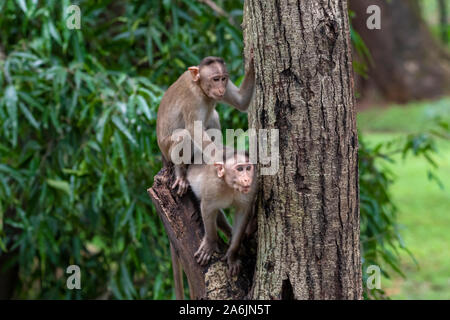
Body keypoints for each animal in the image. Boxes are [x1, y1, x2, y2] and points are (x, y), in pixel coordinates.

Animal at [156, 55, 255, 195]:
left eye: (223, 78)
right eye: (215, 79)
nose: (221, 88)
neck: (200, 88)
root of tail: (163, 156)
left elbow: (241, 101)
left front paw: (252, 64)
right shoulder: (192, 98)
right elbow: (194, 129)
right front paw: (220, 159)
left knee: (214, 116)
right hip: (168, 151)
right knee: (185, 135)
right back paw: (180, 172)